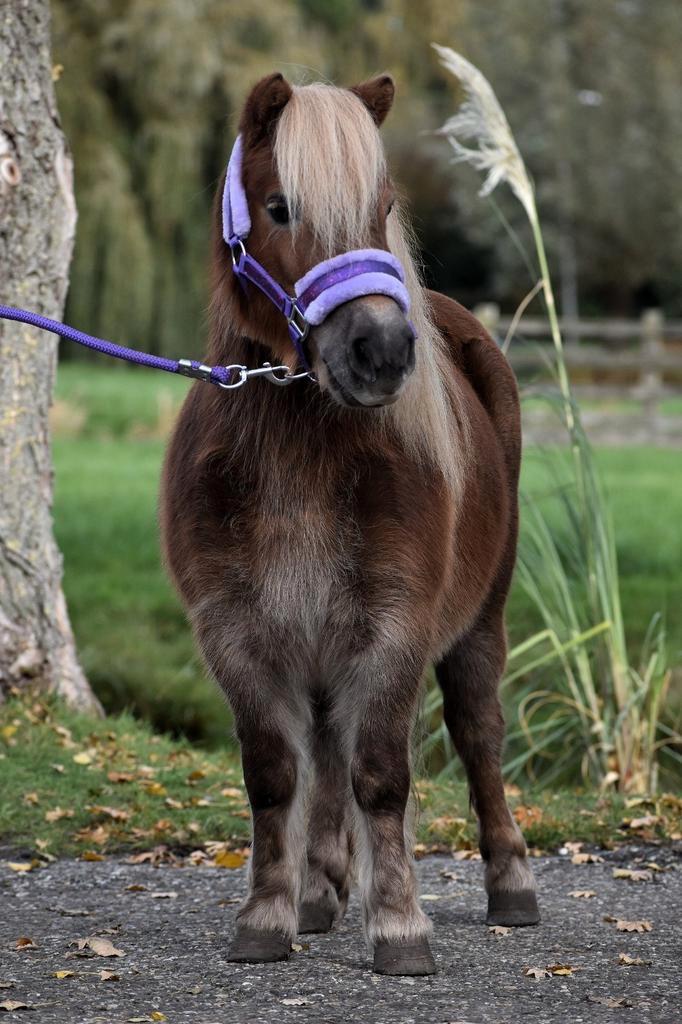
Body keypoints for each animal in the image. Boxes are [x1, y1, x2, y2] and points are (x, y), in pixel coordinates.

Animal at [160, 71, 539, 977]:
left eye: (383, 205)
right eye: (278, 205)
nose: (383, 350)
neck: (300, 451)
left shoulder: (394, 629)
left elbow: (381, 778)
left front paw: (399, 929)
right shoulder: (237, 632)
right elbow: (275, 776)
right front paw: (268, 917)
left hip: (480, 622)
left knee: (478, 732)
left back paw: (510, 886)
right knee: (326, 754)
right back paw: (321, 889)